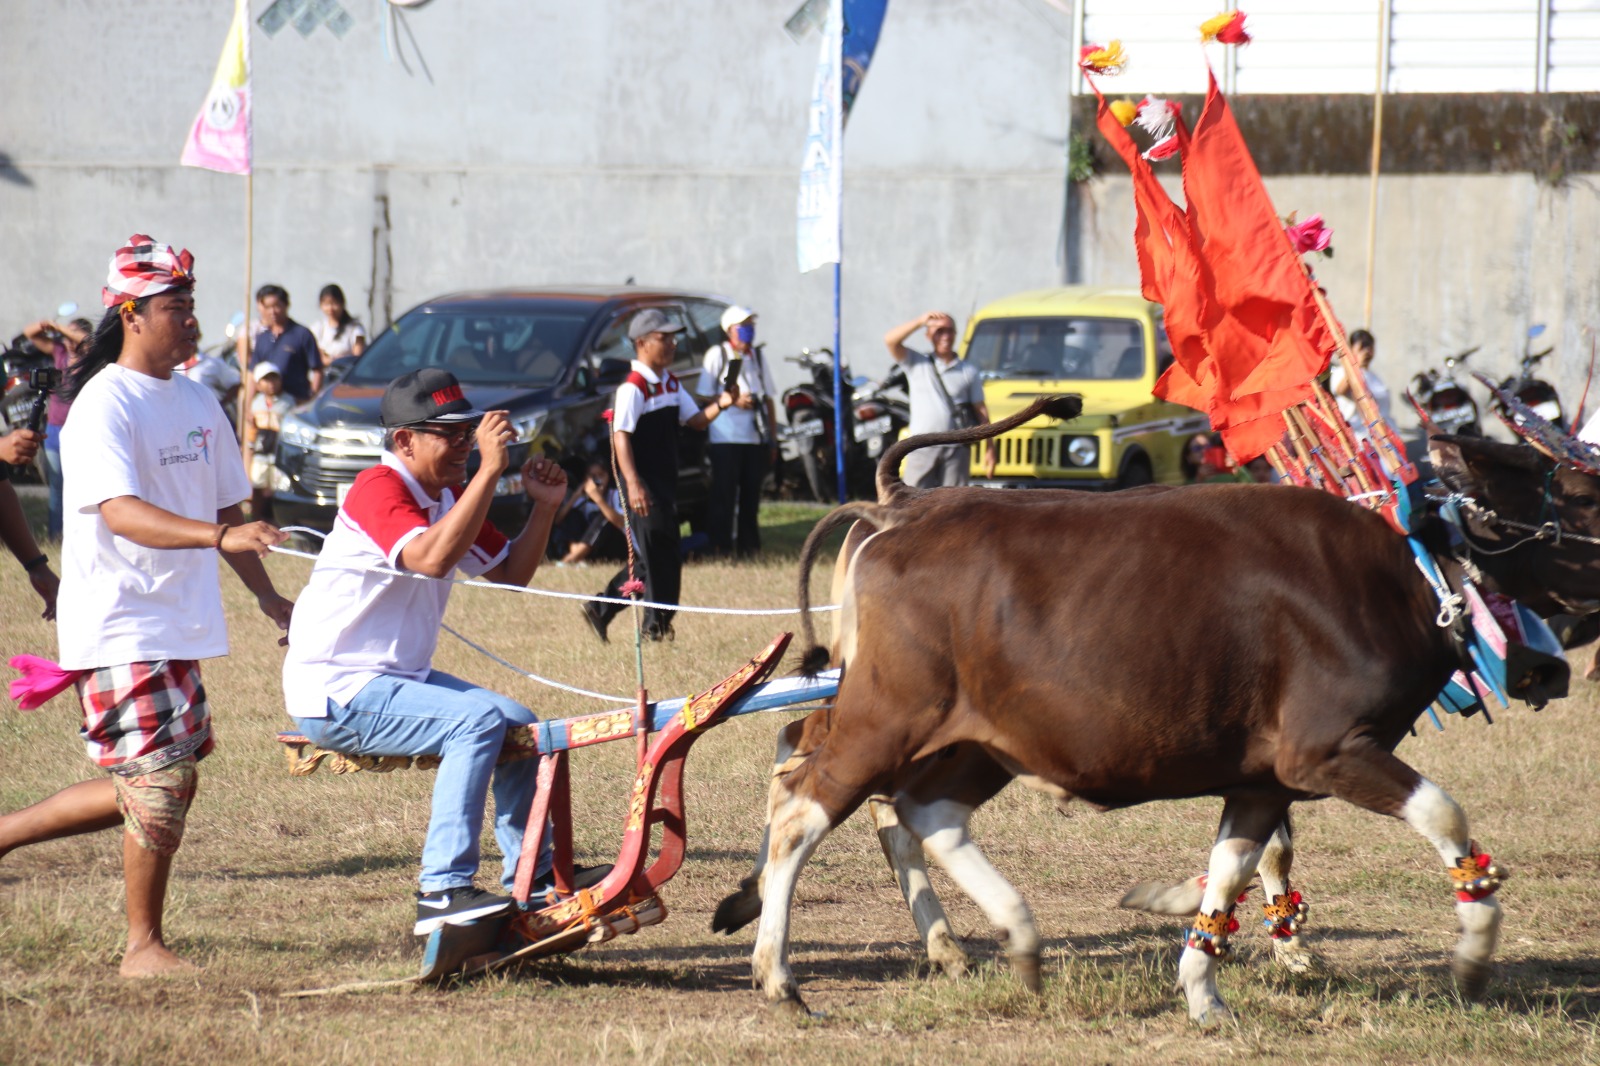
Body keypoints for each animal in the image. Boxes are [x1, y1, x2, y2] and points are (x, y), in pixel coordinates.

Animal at [742, 400, 1555, 1024]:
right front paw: (1471, 952)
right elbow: (1440, 814)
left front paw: (1210, 981)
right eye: (1566, 493)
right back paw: (780, 974)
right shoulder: (1328, 750)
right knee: (805, 803)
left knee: (907, 801)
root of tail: (897, 513)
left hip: (969, 739)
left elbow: (1237, 865)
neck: (1402, 573)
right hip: (888, 715)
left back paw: (1006, 940)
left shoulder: (1263, 778)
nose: (1545, 667)